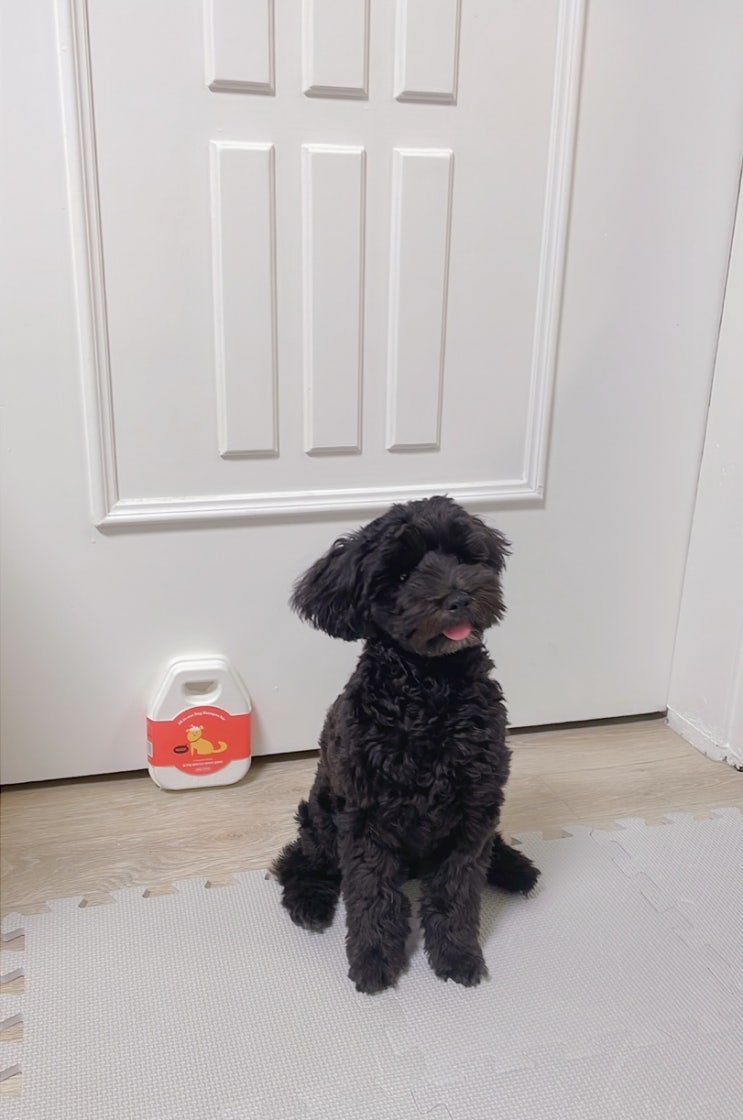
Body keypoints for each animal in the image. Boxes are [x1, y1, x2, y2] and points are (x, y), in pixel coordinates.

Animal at [274, 495, 539, 993]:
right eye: (399, 577)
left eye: (464, 557)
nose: (458, 598)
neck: (431, 688)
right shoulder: (366, 818)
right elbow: (373, 896)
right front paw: (375, 961)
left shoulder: (473, 810)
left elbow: (457, 893)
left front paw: (457, 956)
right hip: (322, 815)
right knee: (298, 860)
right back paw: (309, 903)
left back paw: (516, 869)